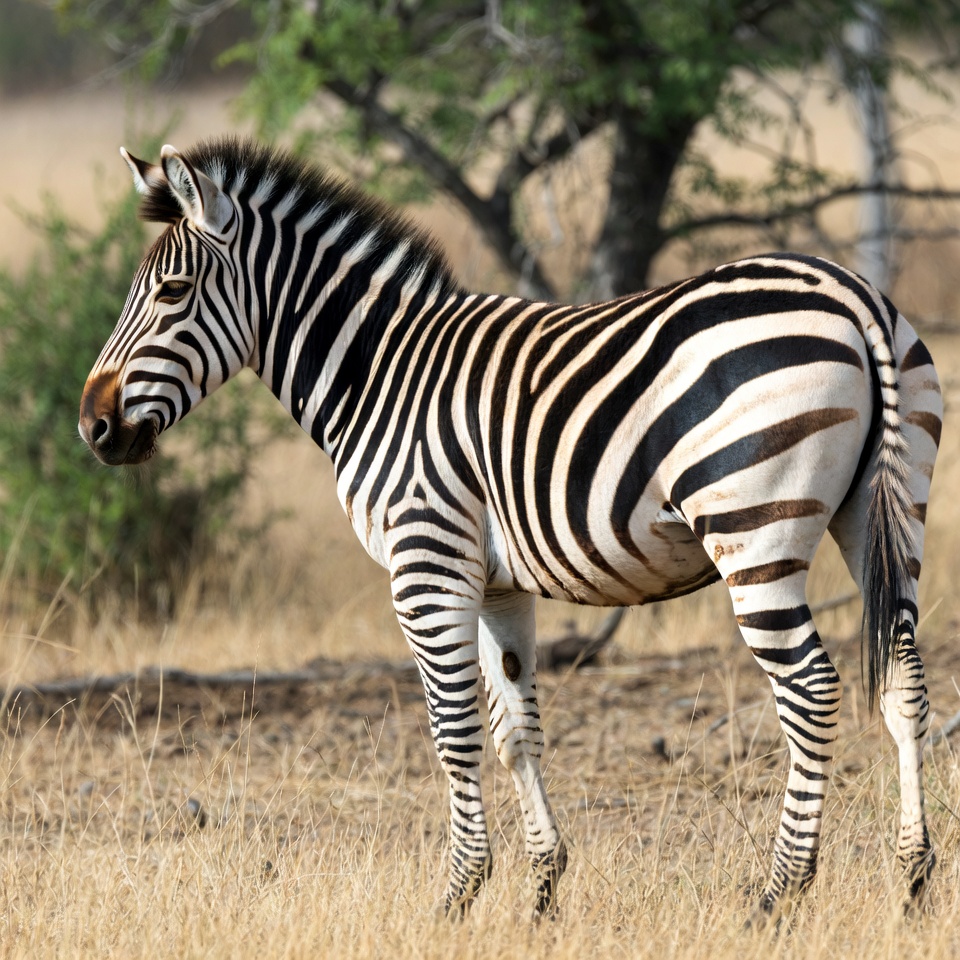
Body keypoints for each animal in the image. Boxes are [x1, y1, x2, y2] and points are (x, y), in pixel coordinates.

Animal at [79, 137, 941, 923]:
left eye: (173, 292)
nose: (93, 427)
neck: (377, 373)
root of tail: (851, 295)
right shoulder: (498, 583)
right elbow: (516, 730)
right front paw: (542, 892)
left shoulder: (425, 562)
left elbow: (453, 730)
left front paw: (458, 894)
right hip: (887, 516)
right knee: (904, 682)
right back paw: (913, 882)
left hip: (754, 531)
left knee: (812, 690)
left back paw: (780, 891)